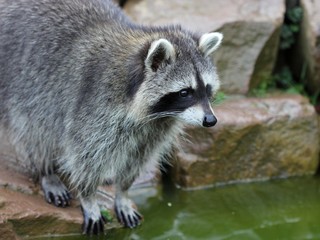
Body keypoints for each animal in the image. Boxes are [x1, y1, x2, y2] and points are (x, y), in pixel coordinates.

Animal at [0, 0, 222, 235]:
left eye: (206, 89)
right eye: (185, 92)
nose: (210, 120)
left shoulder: (155, 128)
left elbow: (137, 158)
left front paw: (122, 192)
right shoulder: (95, 106)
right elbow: (86, 156)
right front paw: (88, 197)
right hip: (23, 82)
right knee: (34, 129)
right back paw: (46, 172)